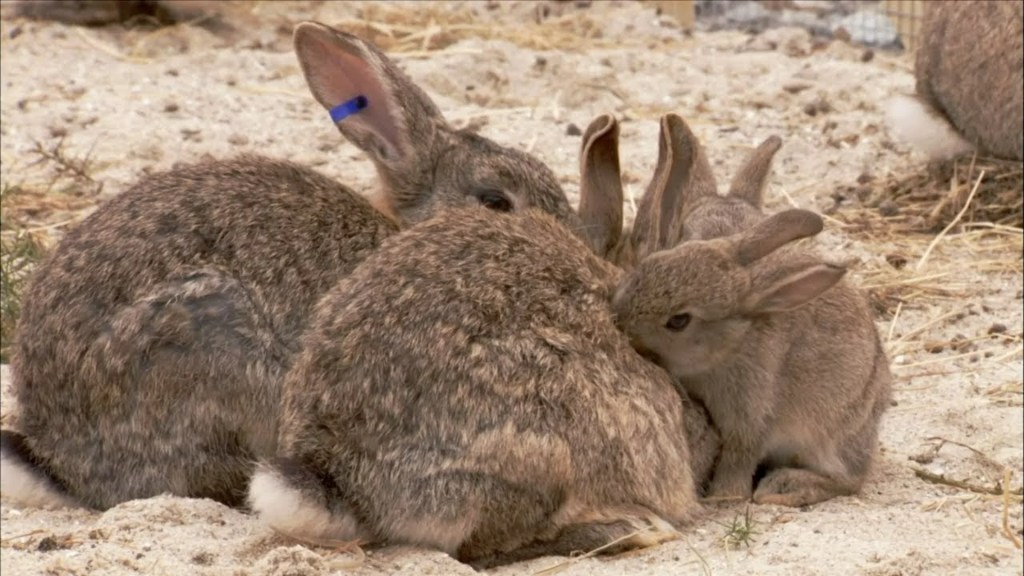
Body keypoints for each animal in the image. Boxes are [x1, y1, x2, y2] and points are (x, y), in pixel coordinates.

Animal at [608, 116, 892, 507]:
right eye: (652, 263)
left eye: (679, 321)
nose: (619, 318)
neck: (728, 348)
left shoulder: (750, 411)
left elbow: (741, 453)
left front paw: (724, 498)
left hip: (829, 436)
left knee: (848, 480)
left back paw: (783, 487)